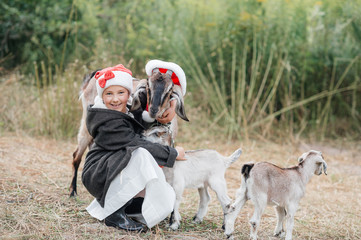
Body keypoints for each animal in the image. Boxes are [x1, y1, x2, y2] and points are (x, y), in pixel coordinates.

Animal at [69, 69, 188, 197]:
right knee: (76, 155)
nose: (153, 110)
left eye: (170, 89)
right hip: (86, 127)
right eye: (148, 85)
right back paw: (73, 191)